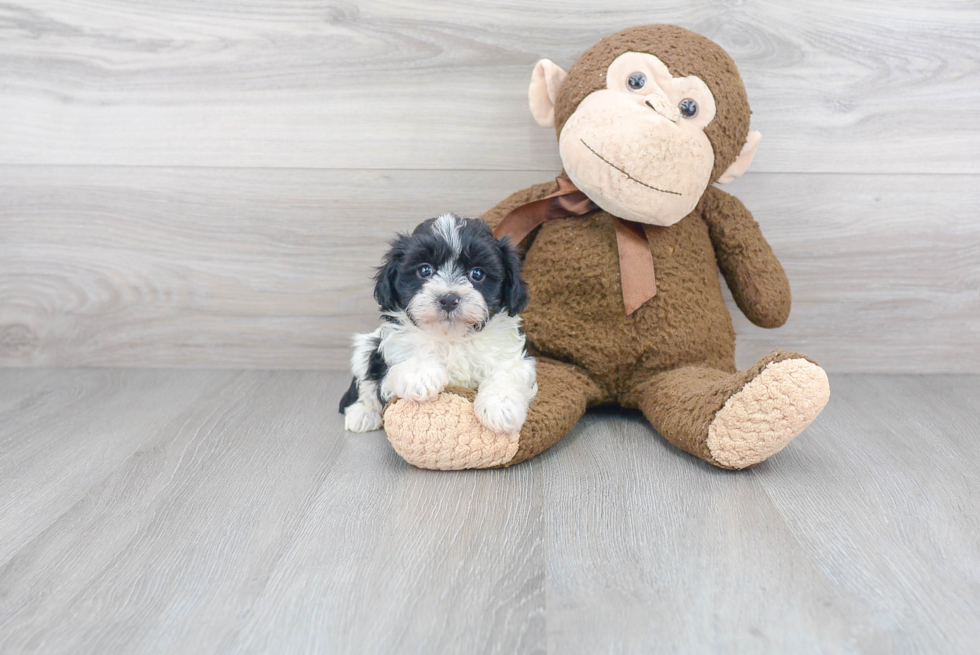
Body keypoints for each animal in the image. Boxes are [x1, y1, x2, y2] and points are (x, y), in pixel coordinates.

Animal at [336, 214, 536, 436]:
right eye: (425, 270)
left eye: (477, 274)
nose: (448, 299)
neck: (452, 337)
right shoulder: (391, 352)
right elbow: (398, 367)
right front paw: (420, 374)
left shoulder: (512, 356)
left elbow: (508, 373)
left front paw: (501, 407)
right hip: (366, 347)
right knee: (365, 384)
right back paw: (363, 414)